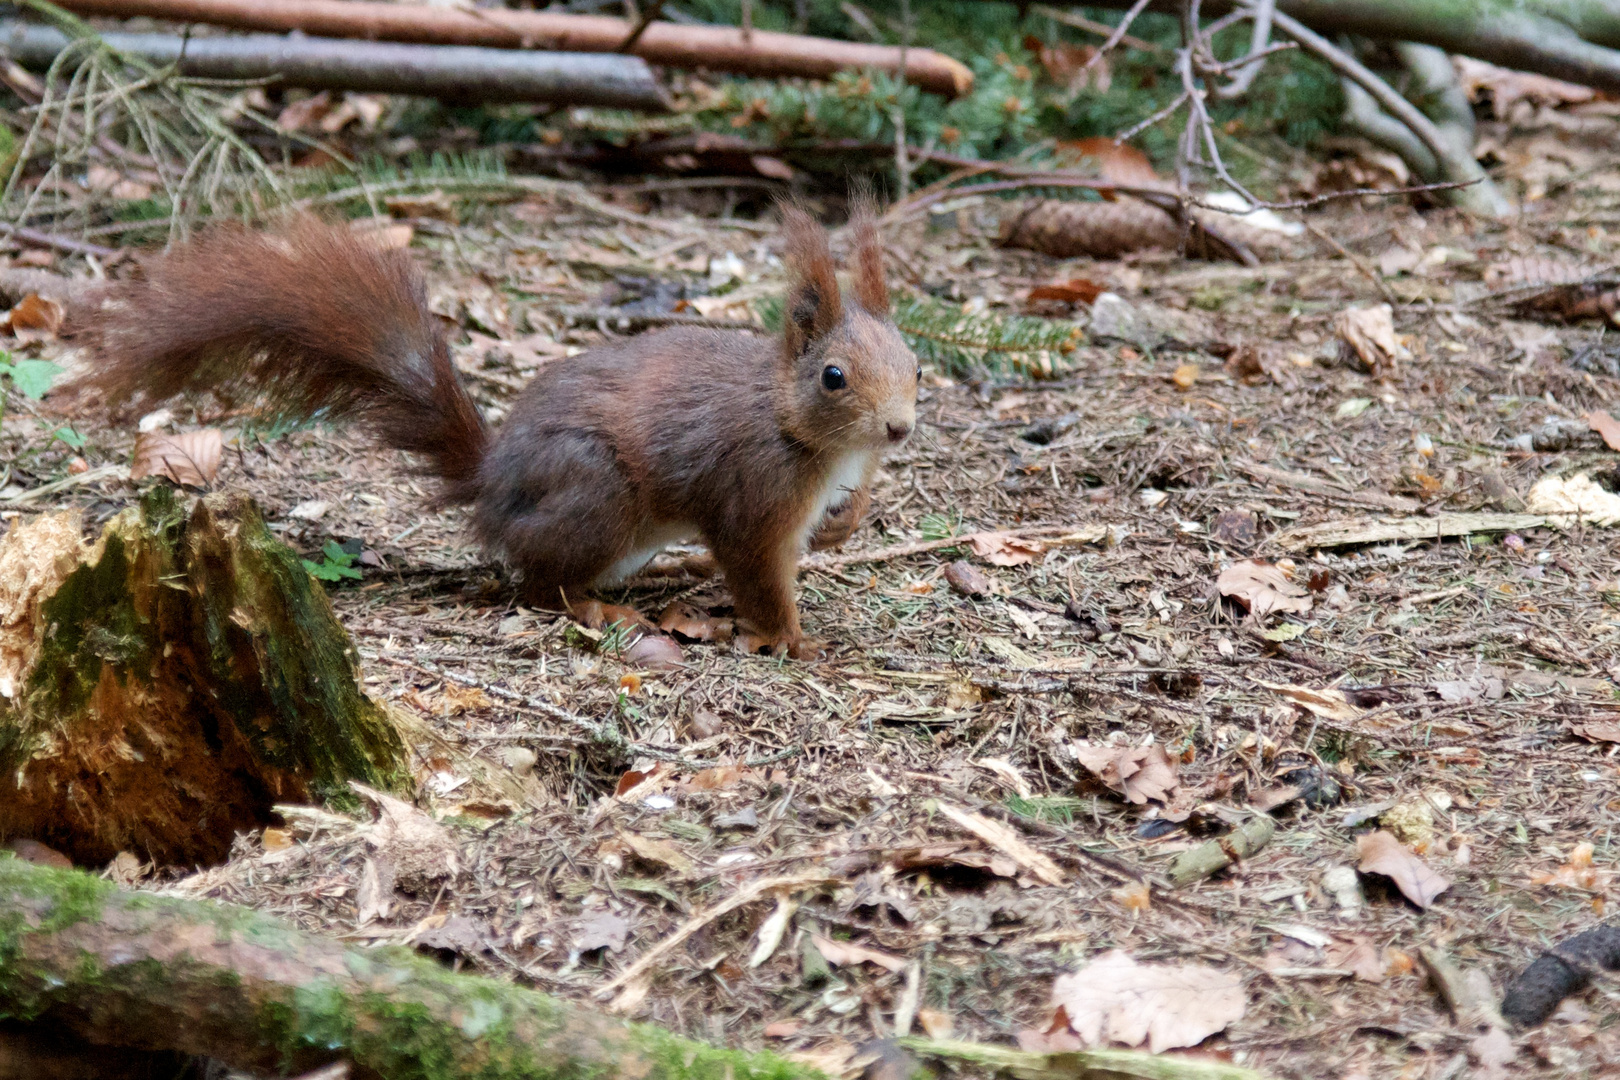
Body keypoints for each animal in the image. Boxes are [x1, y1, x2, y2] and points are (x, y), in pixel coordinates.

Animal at [76, 207, 920, 654]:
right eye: (833, 377)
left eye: (916, 362)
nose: (900, 429)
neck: (793, 426)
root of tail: (492, 485)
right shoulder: (750, 496)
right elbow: (756, 570)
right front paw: (790, 639)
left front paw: (848, 521)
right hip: (597, 496)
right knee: (540, 584)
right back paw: (600, 608)